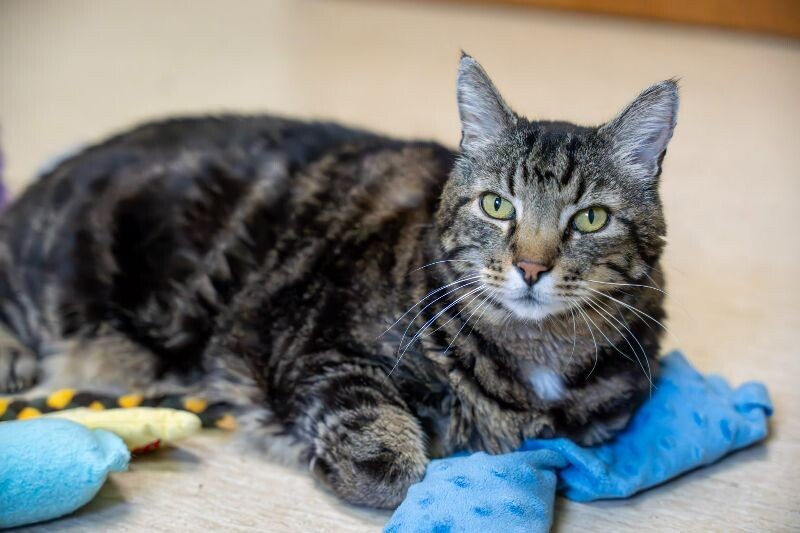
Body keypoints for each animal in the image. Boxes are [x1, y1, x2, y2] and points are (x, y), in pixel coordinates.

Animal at [0, 56, 676, 510]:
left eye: (590, 218)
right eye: (497, 206)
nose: (532, 268)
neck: (535, 355)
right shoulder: (316, 347)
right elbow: (387, 451)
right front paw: (350, 462)